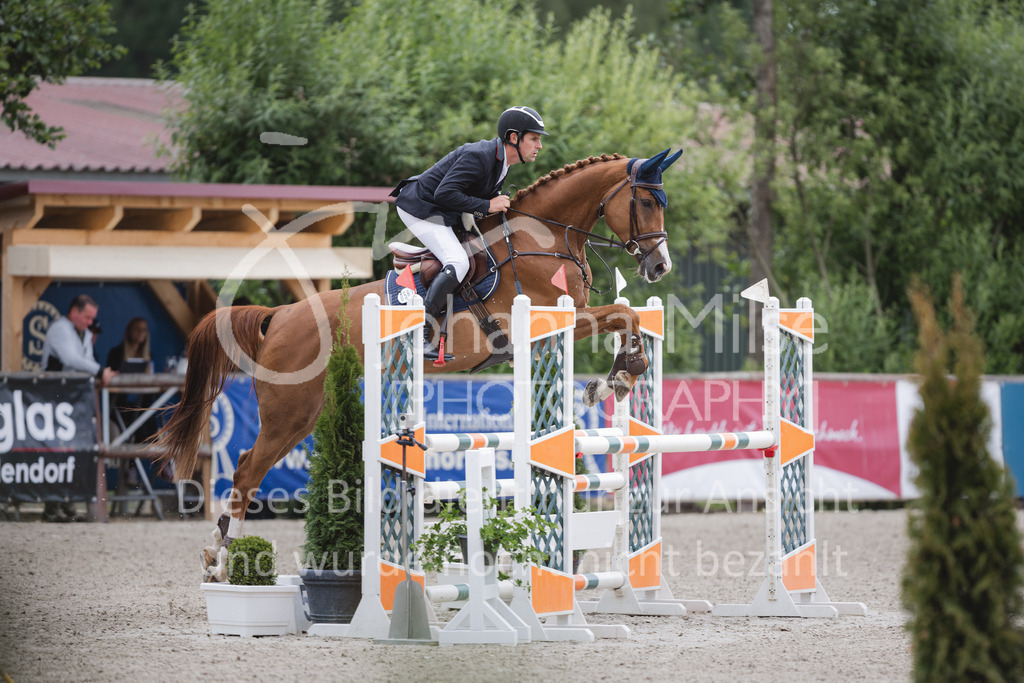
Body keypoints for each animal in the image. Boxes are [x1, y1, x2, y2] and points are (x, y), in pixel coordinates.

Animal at [151, 149, 682, 581]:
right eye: (647, 202)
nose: (660, 267)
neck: (546, 238)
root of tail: (280, 316)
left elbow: (625, 313)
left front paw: (612, 378)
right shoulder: (552, 319)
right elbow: (625, 314)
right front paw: (618, 376)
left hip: (304, 412)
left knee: (245, 466)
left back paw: (215, 554)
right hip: (291, 412)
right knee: (245, 472)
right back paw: (224, 562)